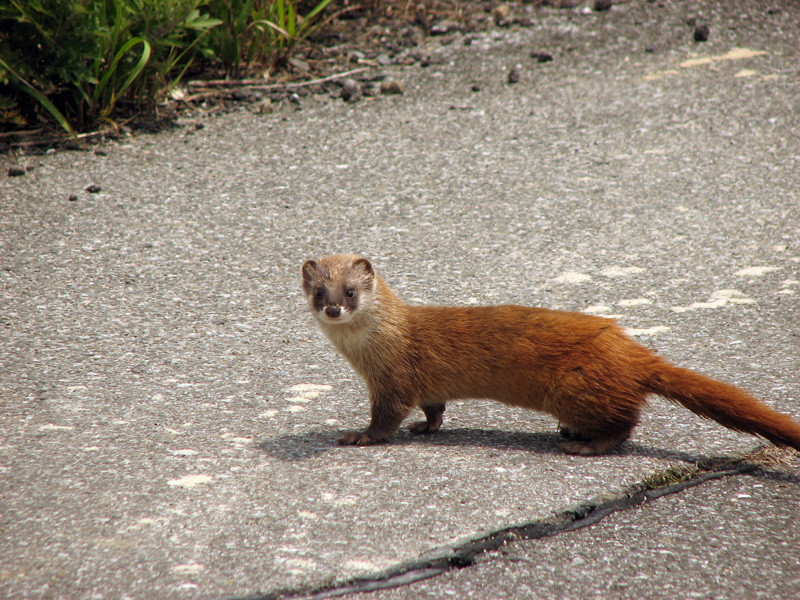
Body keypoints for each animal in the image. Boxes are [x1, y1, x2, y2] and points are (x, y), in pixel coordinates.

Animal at [300, 253, 800, 454]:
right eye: (318, 291)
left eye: (350, 291)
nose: (332, 307)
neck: (366, 353)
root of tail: (630, 348)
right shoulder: (423, 384)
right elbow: (434, 406)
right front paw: (427, 427)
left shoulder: (393, 379)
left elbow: (386, 418)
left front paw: (357, 436)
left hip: (572, 385)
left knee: (625, 424)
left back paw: (584, 443)